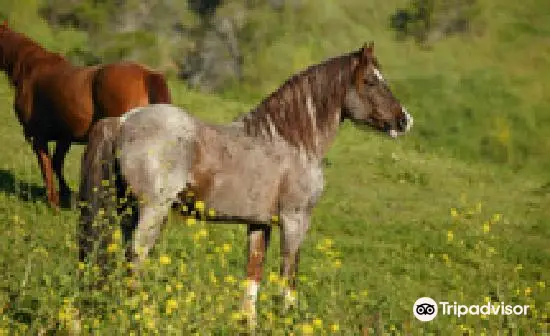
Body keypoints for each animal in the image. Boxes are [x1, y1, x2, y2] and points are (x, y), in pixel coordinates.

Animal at [0, 19, 171, 209]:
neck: (31, 69)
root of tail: (147, 74)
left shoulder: (38, 138)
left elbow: (47, 168)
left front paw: (54, 202)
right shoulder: (65, 137)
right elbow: (56, 163)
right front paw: (69, 196)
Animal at [77, 41, 414, 326]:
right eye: (370, 81)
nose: (404, 120)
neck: (290, 140)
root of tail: (123, 121)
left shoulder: (259, 224)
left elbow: (253, 276)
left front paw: (248, 324)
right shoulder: (295, 221)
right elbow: (289, 275)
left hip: (127, 211)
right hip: (152, 211)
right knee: (136, 259)